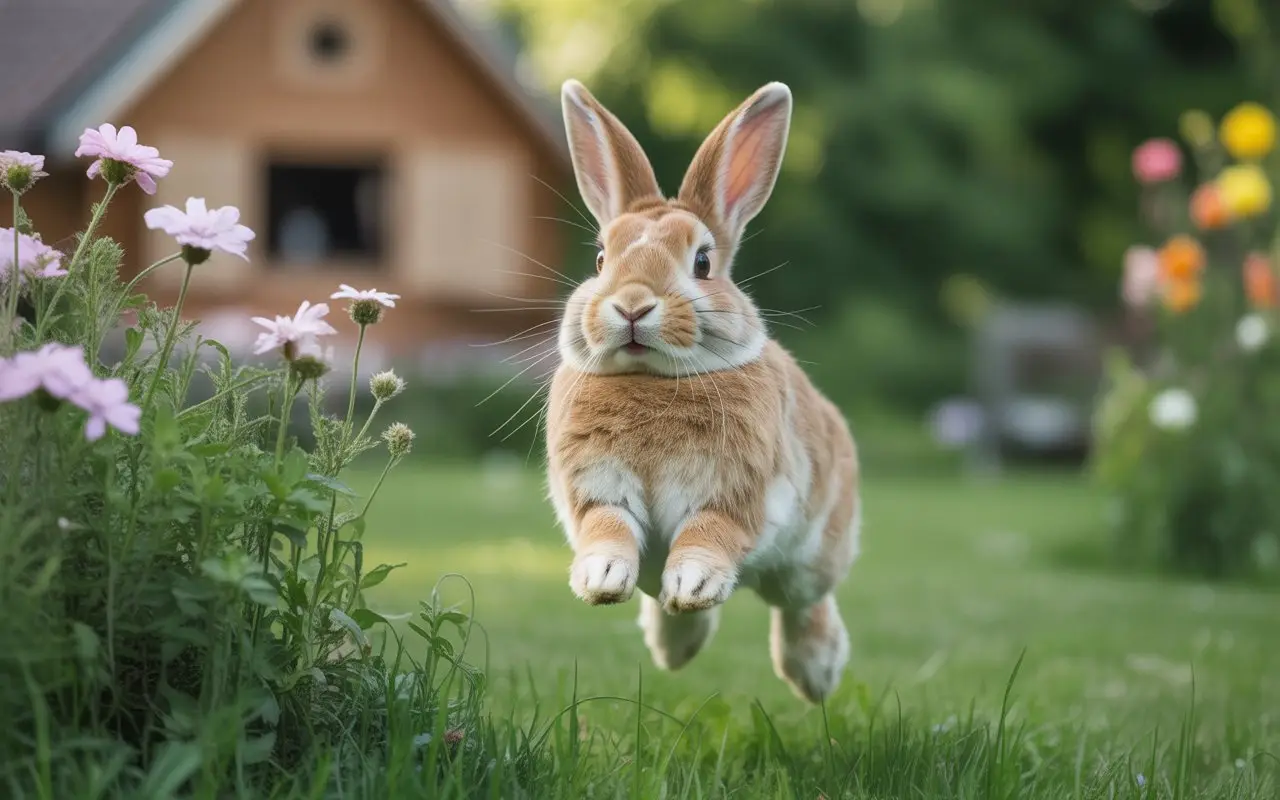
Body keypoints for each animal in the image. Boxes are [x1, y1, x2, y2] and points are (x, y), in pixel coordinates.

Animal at [544, 79, 861, 703]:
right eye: (601, 257)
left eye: (703, 262)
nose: (632, 305)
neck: (652, 381)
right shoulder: (598, 491)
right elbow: (606, 529)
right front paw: (600, 579)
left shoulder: (738, 495)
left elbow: (707, 535)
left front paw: (692, 581)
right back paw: (672, 647)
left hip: (811, 558)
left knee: (802, 606)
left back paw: (817, 673)